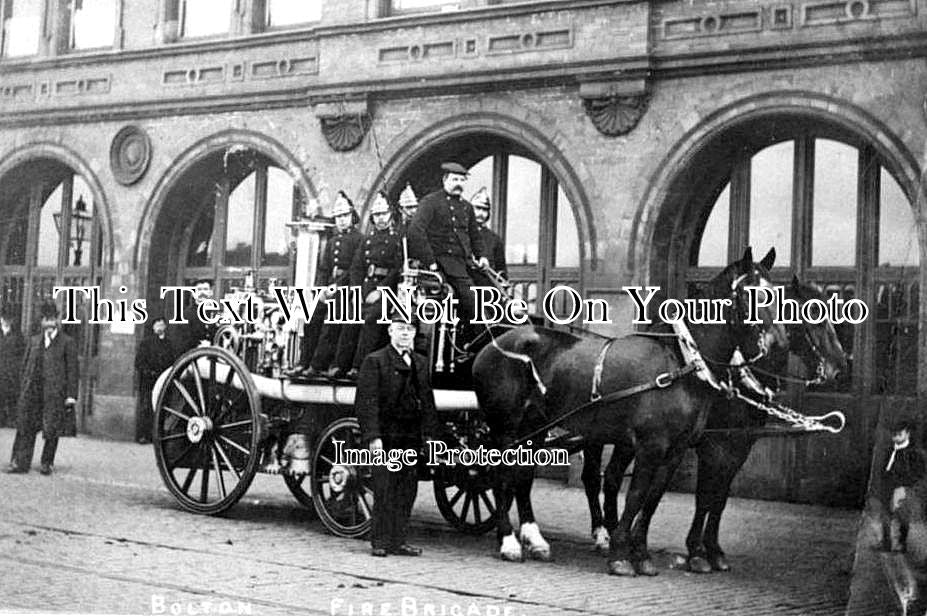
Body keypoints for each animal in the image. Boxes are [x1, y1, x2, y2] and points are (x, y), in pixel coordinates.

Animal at [474, 248, 788, 576]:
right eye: (750, 294)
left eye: (777, 293)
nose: (779, 345)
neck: (680, 362)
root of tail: (493, 344)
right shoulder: (653, 445)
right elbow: (637, 495)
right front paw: (620, 554)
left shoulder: (676, 450)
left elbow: (653, 499)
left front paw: (641, 554)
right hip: (506, 427)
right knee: (500, 475)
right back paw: (508, 541)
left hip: (535, 426)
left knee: (523, 474)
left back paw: (535, 540)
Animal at [584, 274, 852, 572]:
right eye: (814, 313)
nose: (840, 368)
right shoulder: (712, 447)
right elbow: (704, 496)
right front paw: (697, 552)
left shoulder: (739, 446)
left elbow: (719, 499)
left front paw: (713, 550)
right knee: (596, 478)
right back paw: (604, 535)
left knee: (611, 477)